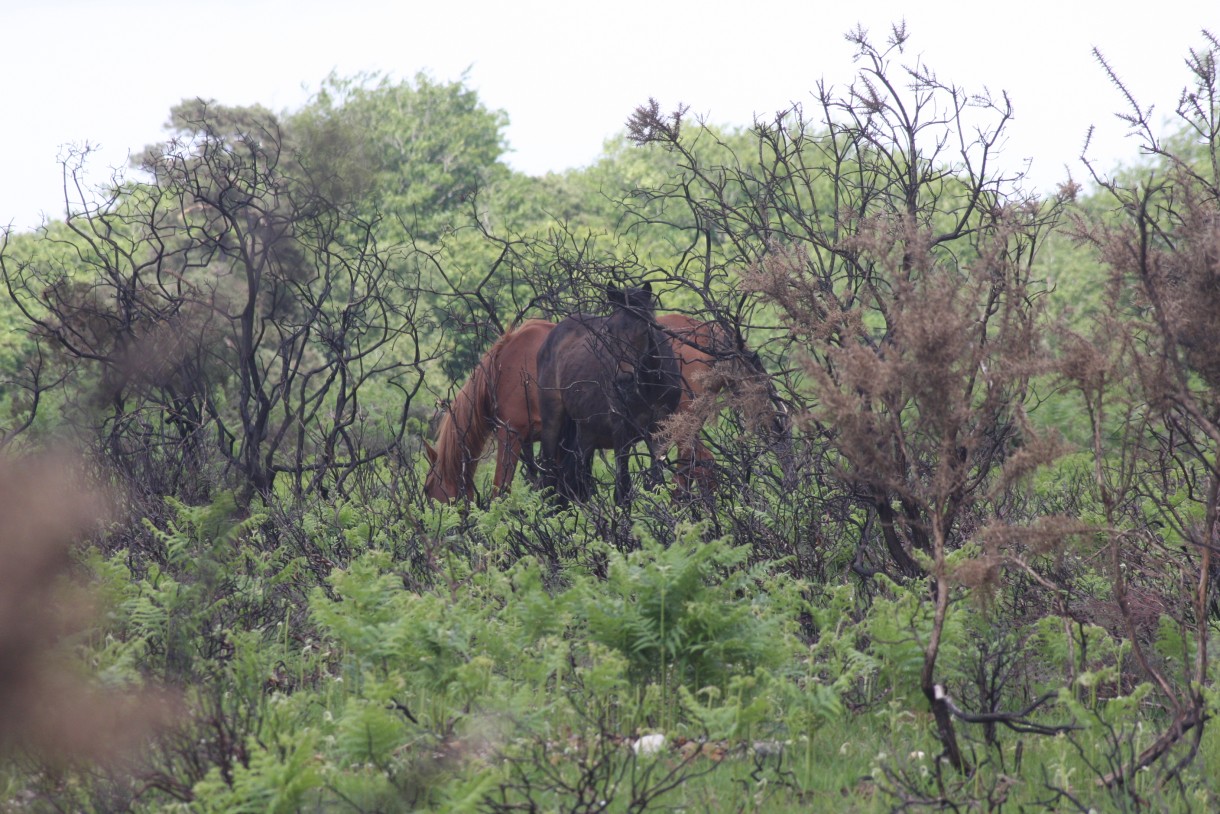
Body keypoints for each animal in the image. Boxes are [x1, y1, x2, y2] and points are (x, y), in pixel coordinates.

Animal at [536, 283, 688, 505]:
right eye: (608, 329)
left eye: (645, 328)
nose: (624, 380)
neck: (649, 387)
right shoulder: (620, 431)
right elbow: (623, 490)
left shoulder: (661, 430)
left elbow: (656, 484)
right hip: (552, 423)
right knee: (549, 479)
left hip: (585, 433)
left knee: (570, 478)